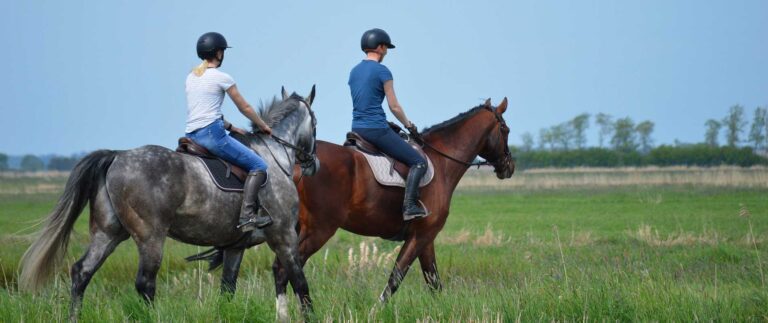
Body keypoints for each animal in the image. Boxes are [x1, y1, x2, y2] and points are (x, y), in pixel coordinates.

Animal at [19, 86, 318, 322]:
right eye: (315, 122)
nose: (313, 164)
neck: (273, 155)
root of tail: (117, 156)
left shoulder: (235, 247)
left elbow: (227, 290)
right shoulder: (283, 237)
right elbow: (300, 282)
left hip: (108, 233)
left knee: (82, 272)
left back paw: (74, 316)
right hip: (150, 237)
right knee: (145, 283)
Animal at [272, 97, 512, 308]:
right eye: (506, 130)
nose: (509, 166)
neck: (442, 162)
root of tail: (298, 161)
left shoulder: (426, 239)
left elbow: (433, 281)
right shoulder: (421, 236)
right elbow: (396, 277)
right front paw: (376, 311)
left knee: (280, 270)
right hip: (319, 230)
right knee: (287, 272)